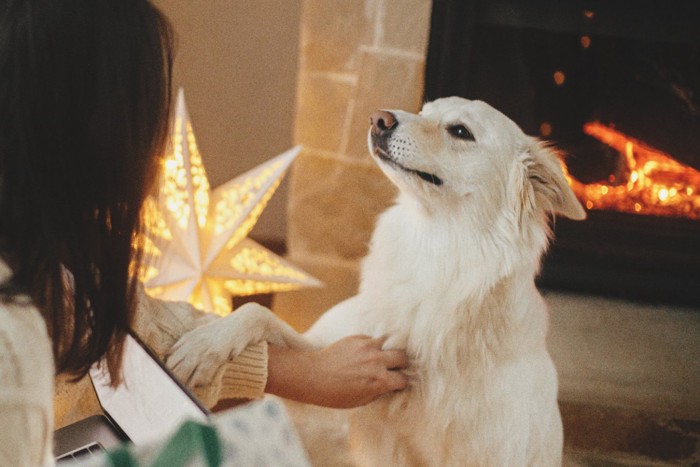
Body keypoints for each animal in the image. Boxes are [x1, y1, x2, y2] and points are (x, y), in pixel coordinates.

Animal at [170, 97, 584, 466]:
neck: (431, 250)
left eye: (460, 131)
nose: (378, 118)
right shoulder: (322, 375)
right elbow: (257, 313)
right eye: (424, 110)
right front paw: (203, 345)